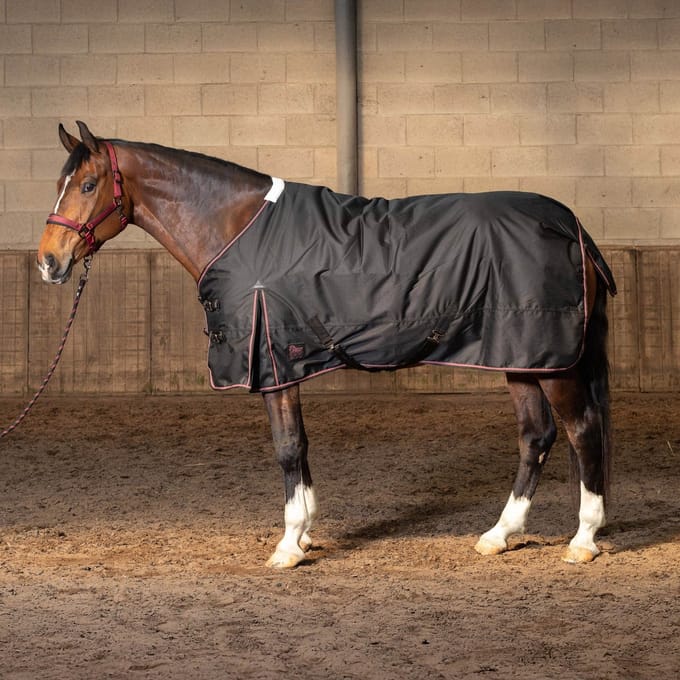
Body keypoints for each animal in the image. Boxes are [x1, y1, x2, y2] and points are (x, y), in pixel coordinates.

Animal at [38, 121, 616, 568]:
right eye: (61, 183)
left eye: (87, 184)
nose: (48, 261)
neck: (237, 229)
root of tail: (572, 226)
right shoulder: (286, 363)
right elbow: (302, 446)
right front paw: (306, 534)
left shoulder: (274, 362)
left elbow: (288, 447)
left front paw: (288, 545)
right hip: (520, 356)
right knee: (536, 436)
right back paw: (499, 535)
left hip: (553, 363)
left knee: (582, 430)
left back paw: (583, 539)